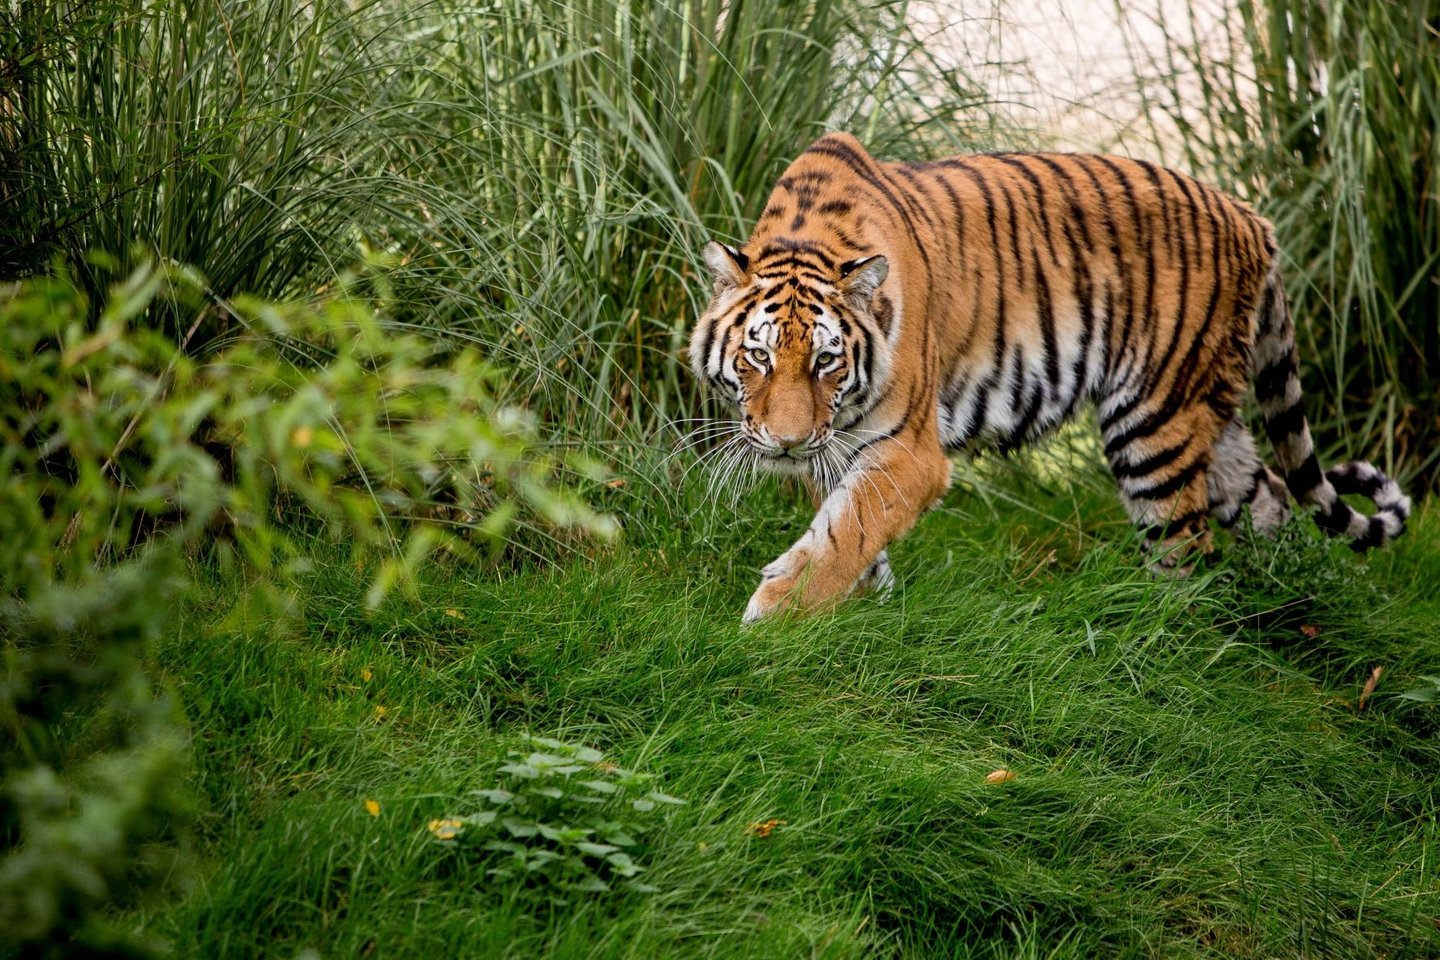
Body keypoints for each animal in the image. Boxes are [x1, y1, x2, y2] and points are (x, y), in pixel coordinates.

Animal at [688, 132, 1411, 623]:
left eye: (826, 361)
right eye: (759, 357)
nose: (786, 443)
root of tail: (1254, 220)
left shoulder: (910, 453)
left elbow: (850, 531)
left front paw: (773, 618)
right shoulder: (835, 446)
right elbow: (844, 531)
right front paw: (868, 605)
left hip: (1156, 422)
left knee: (1185, 549)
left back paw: (1166, 640)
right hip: (1211, 411)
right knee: (1270, 497)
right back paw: (1285, 599)